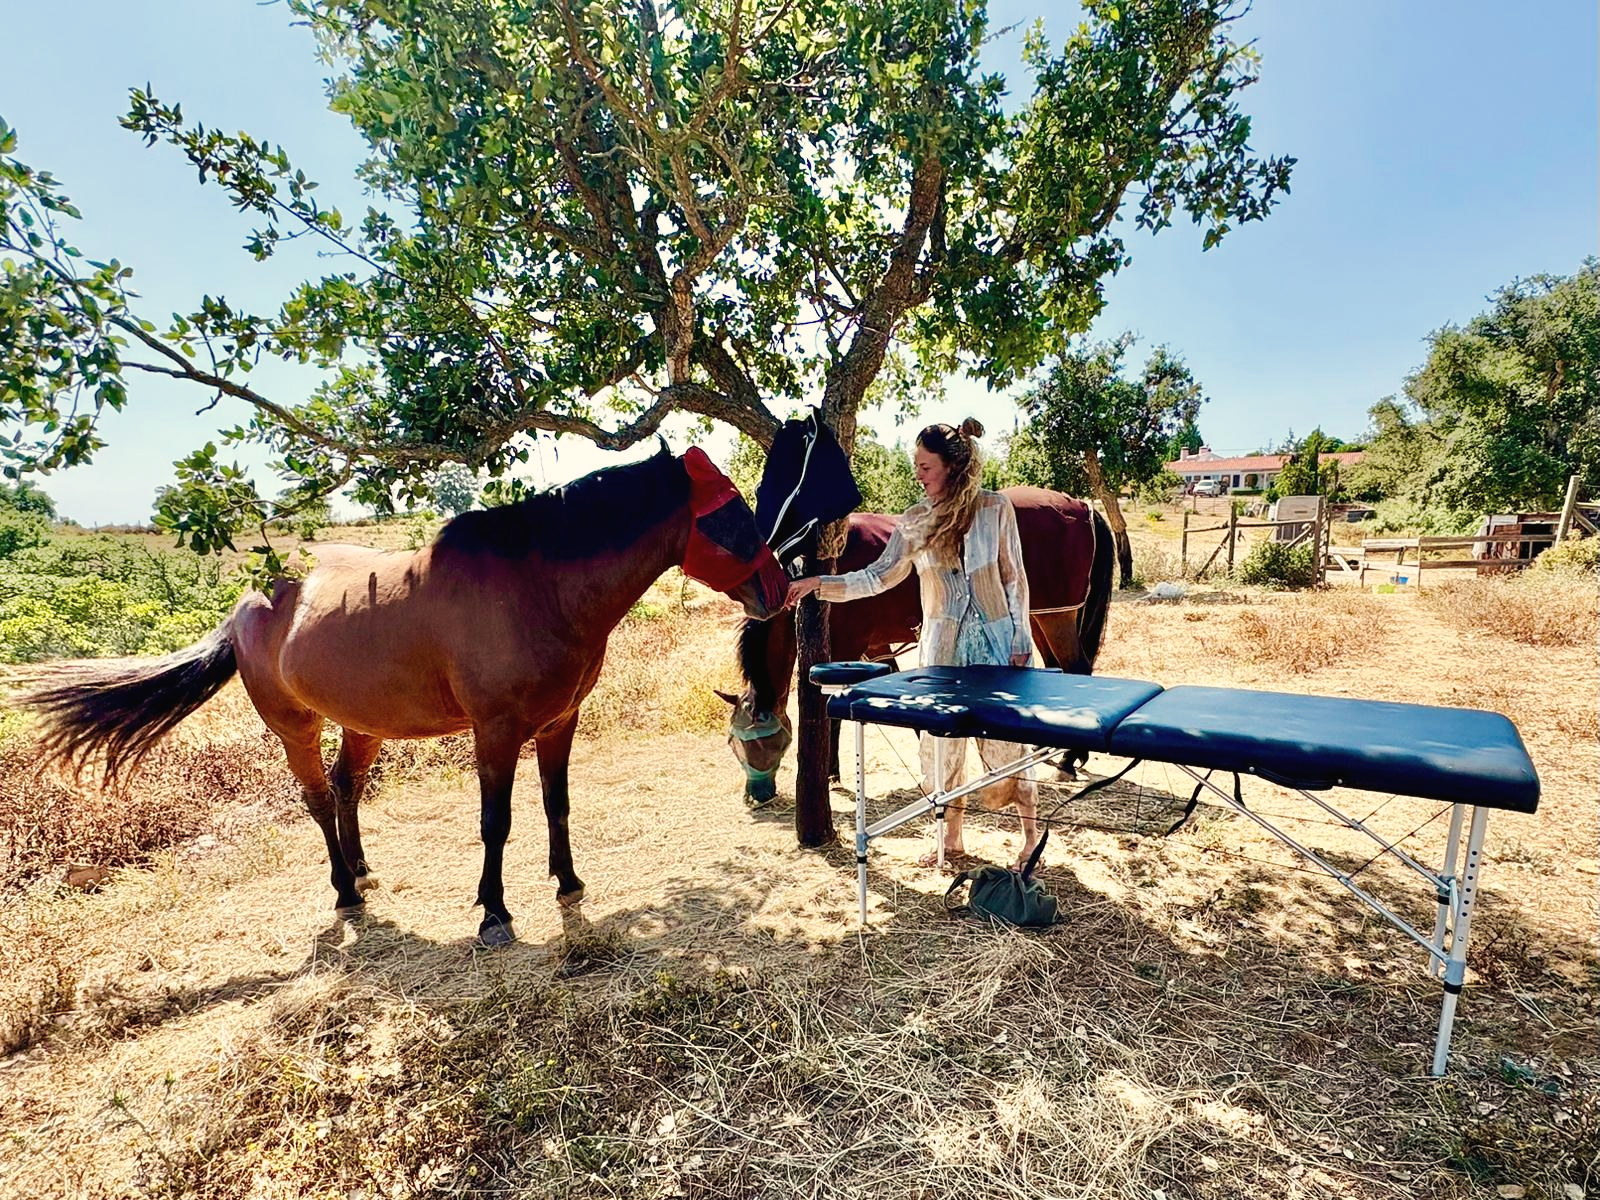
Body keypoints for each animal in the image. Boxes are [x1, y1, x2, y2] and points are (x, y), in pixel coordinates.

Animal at [20, 446, 787, 945]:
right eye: (731, 517)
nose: (778, 589)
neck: (539, 587)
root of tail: (247, 603)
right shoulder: (496, 731)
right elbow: (496, 822)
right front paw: (493, 914)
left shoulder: (558, 723)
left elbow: (557, 806)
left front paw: (567, 881)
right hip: (294, 726)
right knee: (317, 797)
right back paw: (343, 889)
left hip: (363, 724)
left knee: (346, 787)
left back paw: (360, 869)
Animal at [721, 495, 1115, 802]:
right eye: (732, 742)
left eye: (763, 742)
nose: (754, 796)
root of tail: (1081, 505)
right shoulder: (878, 648)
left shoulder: (847, 647)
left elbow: (832, 714)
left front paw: (832, 774)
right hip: (1038, 615)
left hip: (1055, 615)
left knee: (1077, 667)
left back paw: (1068, 760)